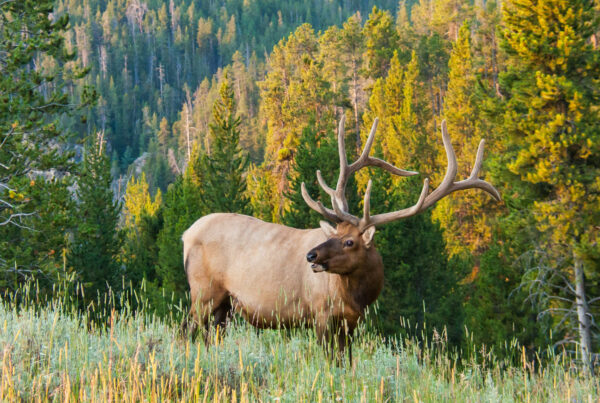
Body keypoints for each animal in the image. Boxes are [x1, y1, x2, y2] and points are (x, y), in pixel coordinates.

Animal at [180, 117, 500, 362]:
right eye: (335, 234)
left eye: (349, 242)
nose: (311, 256)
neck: (358, 296)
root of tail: (186, 234)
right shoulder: (320, 312)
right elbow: (329, 359)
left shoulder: (352, 322)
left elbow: (346, 361)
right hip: (203, 291)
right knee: (187, 330)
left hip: (224, 305)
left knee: (209, 336)